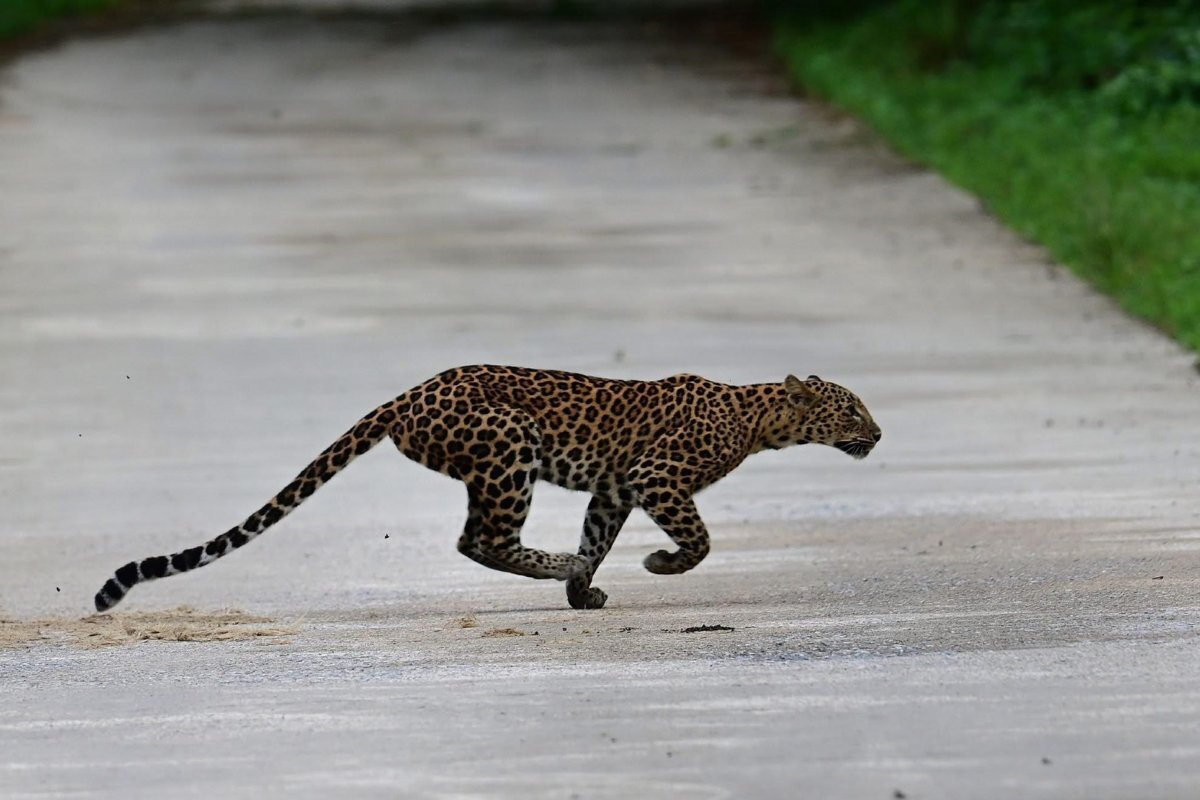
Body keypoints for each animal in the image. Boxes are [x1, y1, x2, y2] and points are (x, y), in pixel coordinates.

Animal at [94, 365, 881, 612]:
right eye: (851, 412)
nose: (878, 435)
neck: (759, 420)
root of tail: (407, 395)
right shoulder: (657, 478)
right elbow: (700, 539)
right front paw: (658, 565)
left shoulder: (617, 489)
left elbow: (600, 532)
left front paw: (585, 591)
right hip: (509, 448)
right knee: (483, 538)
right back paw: (555, 562)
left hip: (494, 464)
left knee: (479, 539)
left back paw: (565, 570)